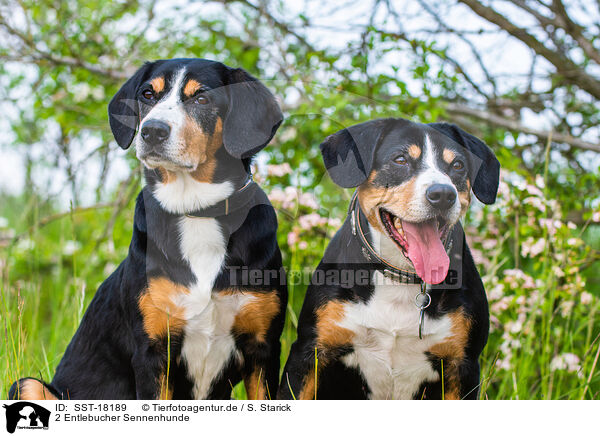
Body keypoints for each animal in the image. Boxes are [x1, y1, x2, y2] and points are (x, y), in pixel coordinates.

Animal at [9, 59, 288, 400]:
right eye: (147, 94)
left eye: (202, 98)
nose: (152, 131)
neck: (196, 211)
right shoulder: (153, 350)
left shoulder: (263, 349)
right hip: (28, 384)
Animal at [278, 117, 500, 400]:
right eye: (400, 159)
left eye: (458, 165)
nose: (443, 194)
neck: (400, 278)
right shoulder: (310, 352)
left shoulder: (463, 365)